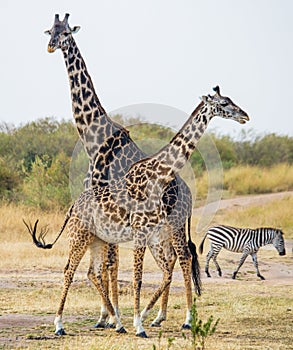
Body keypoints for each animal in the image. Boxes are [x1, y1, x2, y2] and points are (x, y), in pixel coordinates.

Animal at [25, 86, 249, 338]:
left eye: (230, 100)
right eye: (224, 103)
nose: (245, 116)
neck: (157, 176)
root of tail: (73, 205)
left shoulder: (148, 233)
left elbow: (145, 275)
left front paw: (136, 321)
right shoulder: (139, 232)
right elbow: (137, 279)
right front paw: (139, 326)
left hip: (98, 239)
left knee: (94, 272)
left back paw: (119, 322)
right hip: (79, 236)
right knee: (68, 271)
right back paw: (60, 325)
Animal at [44, 14, 198, 328]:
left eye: (65, 33)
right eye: (49, 30)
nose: (51, 45)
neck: (94, 140)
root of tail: (190, 195)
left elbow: (110, 262)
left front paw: (113, 317)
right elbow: (106, 262)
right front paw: (106, 316)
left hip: (173, 224)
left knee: (181, 257)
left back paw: (175, 317)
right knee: (171, 259)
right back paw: (159, 315)